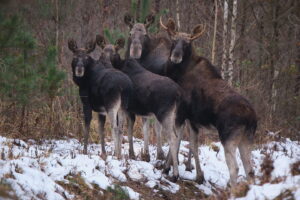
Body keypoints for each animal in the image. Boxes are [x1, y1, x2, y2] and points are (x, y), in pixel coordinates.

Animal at [161, 17, 256, 186]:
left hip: (229, 137)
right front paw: (199, 176)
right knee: (250, 170)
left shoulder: (182, 113)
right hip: (247, 138)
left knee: (235, 168)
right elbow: (191, 144)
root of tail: (252, 118)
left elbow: (178, 141)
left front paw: (171, 171)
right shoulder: (192, 120)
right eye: (173, 40)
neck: (178, 74)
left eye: (187, 44)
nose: (176, 56)